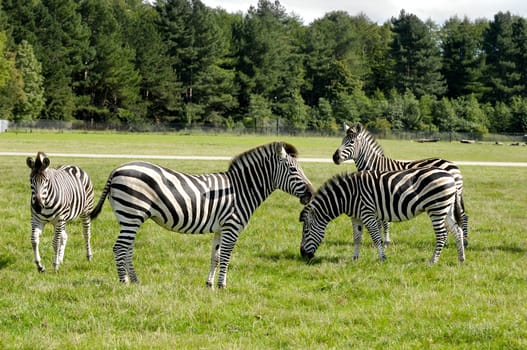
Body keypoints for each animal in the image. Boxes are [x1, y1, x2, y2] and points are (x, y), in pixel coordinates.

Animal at [90, 141, 314, 288]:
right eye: (293, 170)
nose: (311, 193)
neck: (241, 189)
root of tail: (117, 169)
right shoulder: (232, 226)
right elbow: (226, 256)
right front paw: (223, 285)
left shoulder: (221, 228)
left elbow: (215, 256)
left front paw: (210, 284)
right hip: (131, 215)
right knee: (120, 248)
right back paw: (124, 283)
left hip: (129, 218)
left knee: (127, 249)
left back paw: (135, 281)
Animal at [302, 168, 466, 264]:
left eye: (305, 232)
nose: (303, 255)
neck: (347, 196)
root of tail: (450, 176)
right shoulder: (356, 217)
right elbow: (357, 238)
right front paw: (355, 258)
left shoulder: (367, 213)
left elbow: (375, 237)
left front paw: (382, 258)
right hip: (446, 208)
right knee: (457, 230)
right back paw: (461, 258)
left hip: (436, 208)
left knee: (442, 234)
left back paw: (433, 261)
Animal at [332, 122, 468, 246]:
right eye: (342, 141)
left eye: (351, 142)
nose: (334, 157)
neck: (374, 165)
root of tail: (454, 165)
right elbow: (379, 221)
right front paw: (380, 240)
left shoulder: (383, 194)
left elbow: (384, 222)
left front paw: (386, 241)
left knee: (463, 216)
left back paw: (464, 242)